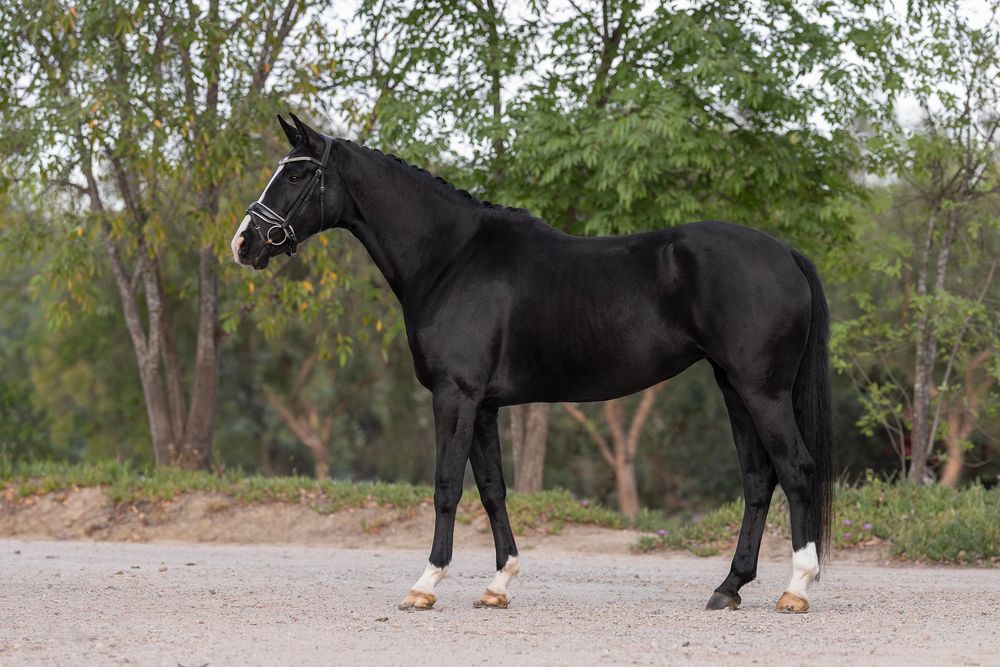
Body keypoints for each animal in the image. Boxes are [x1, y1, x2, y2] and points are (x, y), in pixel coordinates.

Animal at [232, 113, 834, 614]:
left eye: (296, 175)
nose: (245, 243)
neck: (451, 257)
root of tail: (785, 253)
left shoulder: (455, 396)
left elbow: (446, 486)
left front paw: (425, 585)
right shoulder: (483, 406)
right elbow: (492, 490)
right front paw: (498, 585)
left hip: (762, 391)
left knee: (797, 470)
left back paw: (796, 589)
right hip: (734, 387)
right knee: (758, 480)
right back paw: (729, 587)